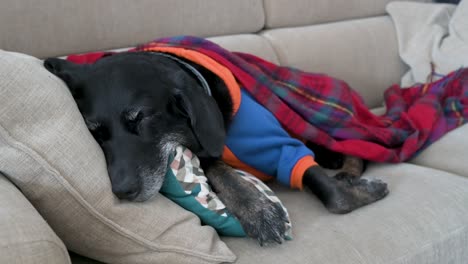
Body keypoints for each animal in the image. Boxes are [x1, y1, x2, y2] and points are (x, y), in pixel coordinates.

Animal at [44, 51, 390, 245]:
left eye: (140, 117)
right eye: (95, 133)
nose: (122, 192)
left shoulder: (275, 141)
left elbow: (335, 198)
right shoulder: (207, 147)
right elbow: (216, 166)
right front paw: (254, 208)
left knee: (359, 147)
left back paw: (348, 169)